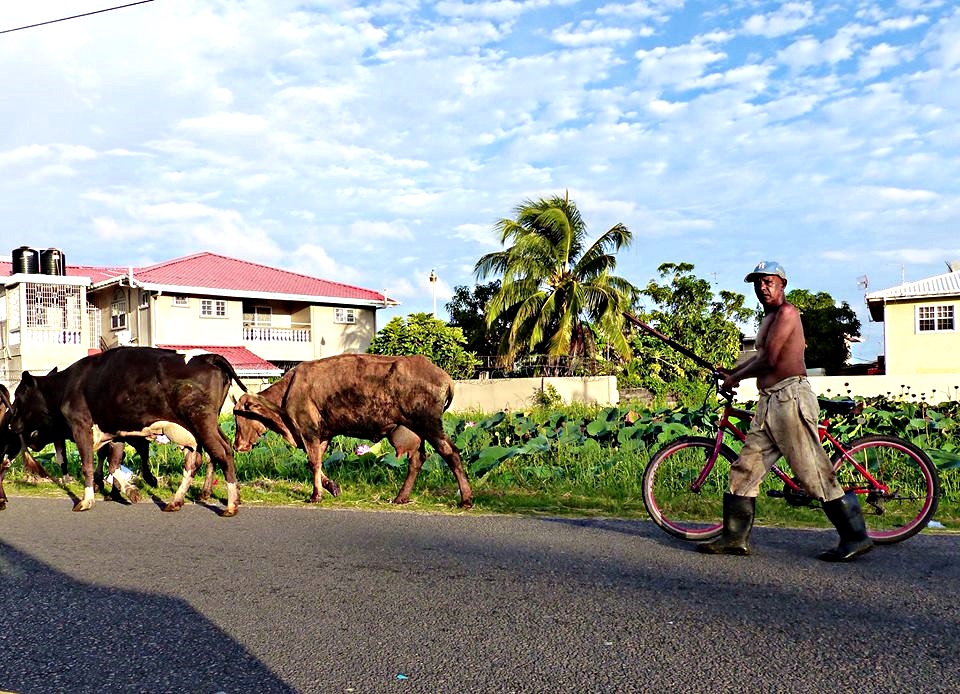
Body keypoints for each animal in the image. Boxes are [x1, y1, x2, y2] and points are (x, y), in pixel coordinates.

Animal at [7, 348, 246, 516]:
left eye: (18, 397)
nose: (11, 424)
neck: (66, 386)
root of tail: (208, 357)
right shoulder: (114, 431)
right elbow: (113, 464)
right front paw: (130, 491)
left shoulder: (81, 427)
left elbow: (88, 465)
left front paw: (86, 500)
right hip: (192, 431)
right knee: (194, 460)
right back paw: (175, 502)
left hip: (201, 422)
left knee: (222, 453)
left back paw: (231, 505)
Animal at [232, 356, 472, 508]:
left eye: (239, 415)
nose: (236, 445)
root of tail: (441, 374)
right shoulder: (322, 435)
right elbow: (317, 463)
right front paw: (332, 487)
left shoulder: (309, 431)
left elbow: (313, 463)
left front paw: (316, 495)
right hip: (413, 431)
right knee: (418, 459)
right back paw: (401, 498)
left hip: (429, 425)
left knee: (451, 453)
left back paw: (466, 499)